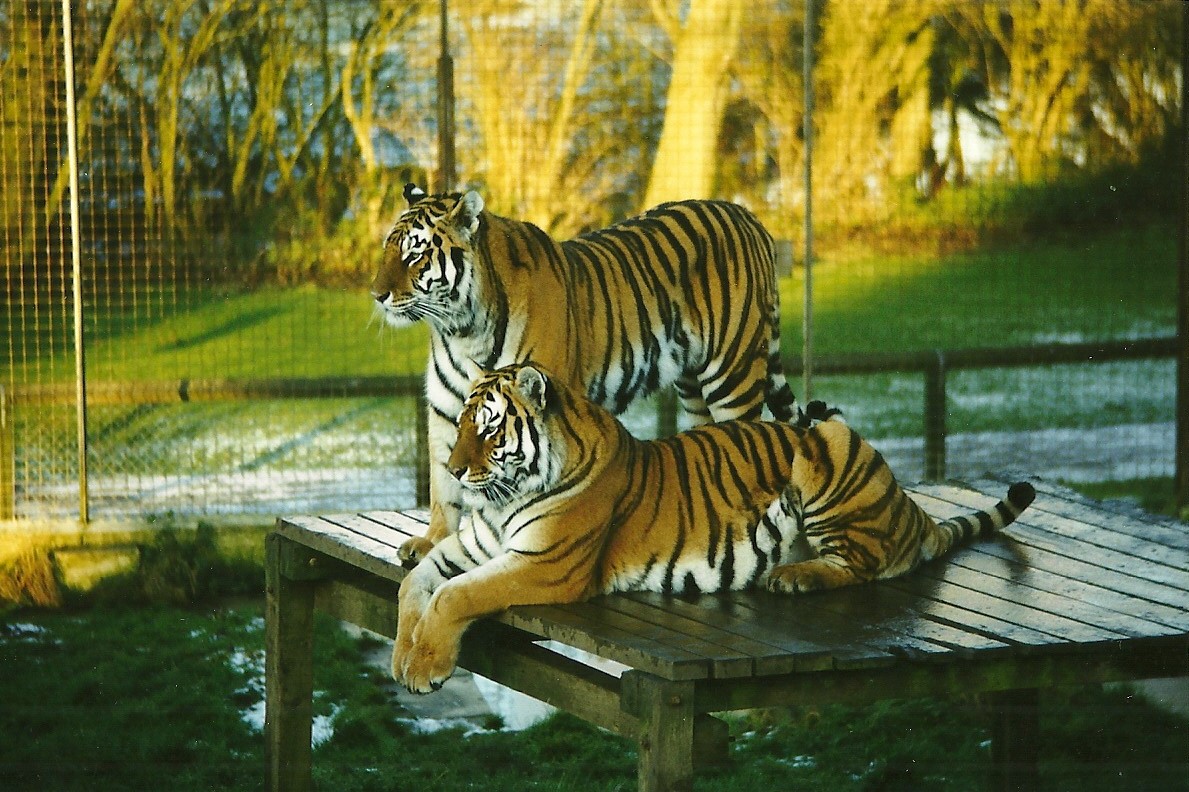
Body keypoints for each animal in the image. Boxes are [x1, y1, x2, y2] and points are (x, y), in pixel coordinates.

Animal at [371, 184, 802, 565]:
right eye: (387, 249)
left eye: (414, 253)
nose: (376, 295)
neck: (461, 329)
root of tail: (748, 216)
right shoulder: (446, 410)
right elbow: (444, 483)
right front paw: (433, 541)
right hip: (693, 387)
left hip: (732, 375)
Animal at [391, 362, 1035, 693]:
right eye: (461, 424)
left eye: (489, 428)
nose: (453, 469)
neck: (503, 500)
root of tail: (909, 505)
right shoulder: (469, 548)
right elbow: (415, 586)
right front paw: (403, 656)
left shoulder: (545, 566)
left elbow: (453, 596)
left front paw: (425, 668)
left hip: (827, 440)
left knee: (862, 564)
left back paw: (795, 576)